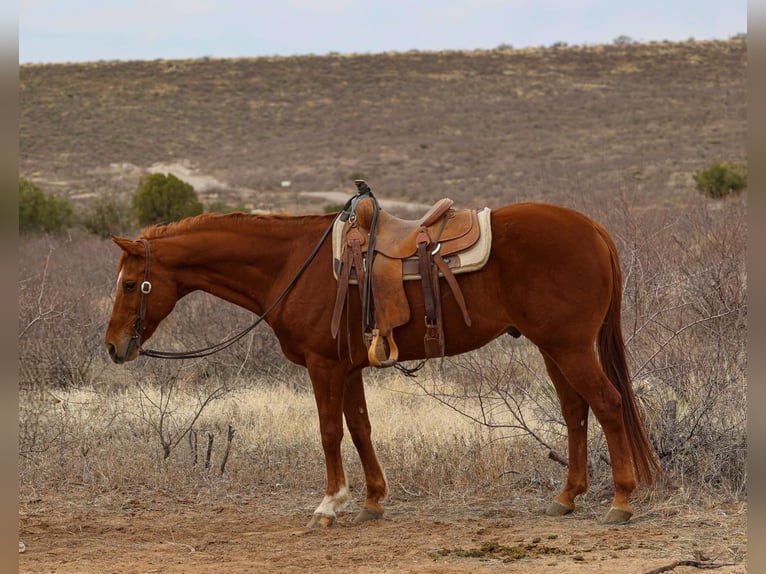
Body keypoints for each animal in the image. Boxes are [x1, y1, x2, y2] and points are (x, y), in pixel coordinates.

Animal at [104, 199, 662, 527]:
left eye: (131, 284)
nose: (113, 347)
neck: (292, 264)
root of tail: (593, 229)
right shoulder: (348, 368)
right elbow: (360, 428)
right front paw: (373, 500)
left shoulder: (324, 366)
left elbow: (330, 430)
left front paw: (330, 504)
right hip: (552, 348)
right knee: (575, 411)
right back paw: (567, 496)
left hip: (570, 346)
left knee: (609, 404)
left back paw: (621, 501)